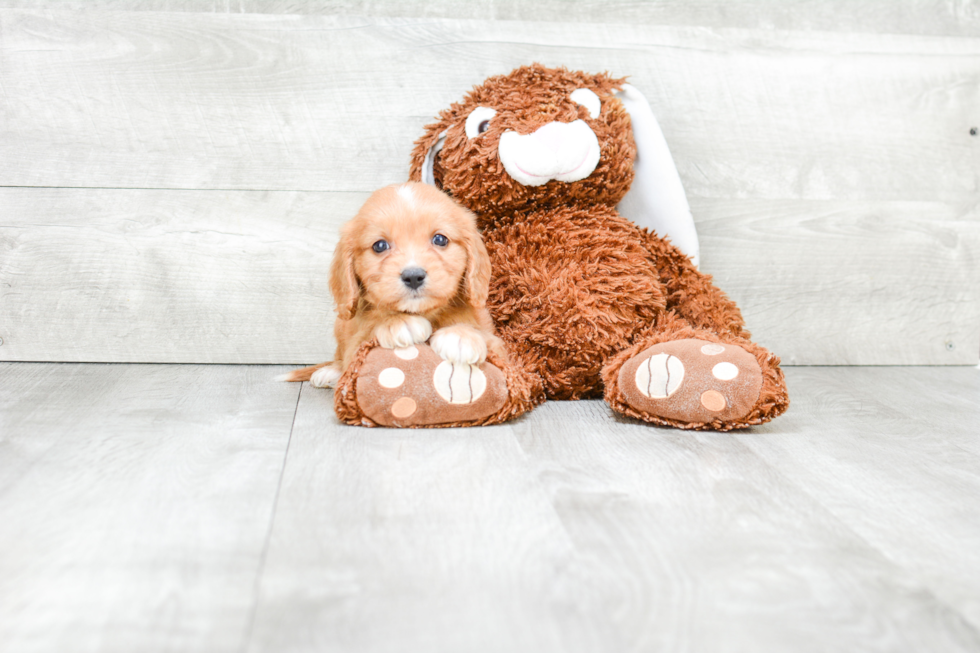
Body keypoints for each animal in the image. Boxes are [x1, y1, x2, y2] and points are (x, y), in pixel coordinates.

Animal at [278, 181, 502, 388]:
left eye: (440, 239)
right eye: (380, 246)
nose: (413, 276)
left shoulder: (500, 346)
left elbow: (482, 335)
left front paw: (461, 335)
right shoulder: (355, 344)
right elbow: (369, 328)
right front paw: (398, 322)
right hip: (340, 325)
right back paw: (330, 372)